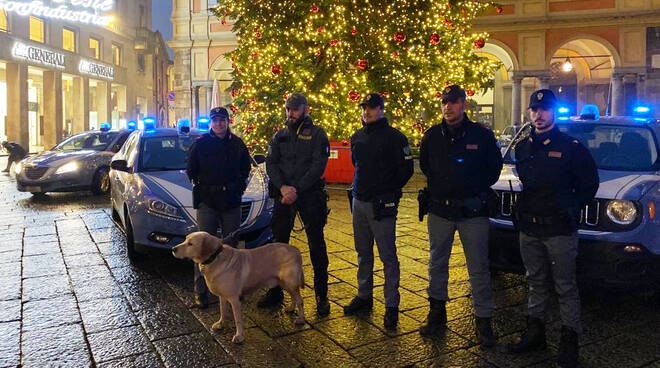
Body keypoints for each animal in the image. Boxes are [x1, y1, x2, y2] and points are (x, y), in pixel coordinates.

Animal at [170, 231, 304, 344]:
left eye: (191, 244)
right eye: (185, 239)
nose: (173, 249)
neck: (215, 258)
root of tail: (296, 250)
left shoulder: (234, 299)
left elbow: (238, 320)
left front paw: (239, 336)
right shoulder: (222, 297)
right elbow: (223, 311)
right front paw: (221, 324)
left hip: (290, 282)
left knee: (300, 300)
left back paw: (300, 319)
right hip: (284, 283)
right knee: (294, 297)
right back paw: (291, 308)